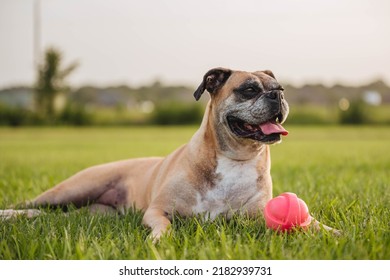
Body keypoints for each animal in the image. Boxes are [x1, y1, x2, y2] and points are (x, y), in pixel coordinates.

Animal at [0, 68, 338, 238]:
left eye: (280, 87)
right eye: (250, 89)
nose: (278, 95)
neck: (235, 158)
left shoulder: (255, 215)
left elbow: (310, 223)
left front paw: (330, 231)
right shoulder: (156, 211)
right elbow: (164, 224)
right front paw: (159, 240)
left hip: (88, 209)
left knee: (53, 214)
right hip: (73, 189)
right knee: (31, 205)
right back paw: (9, 215)